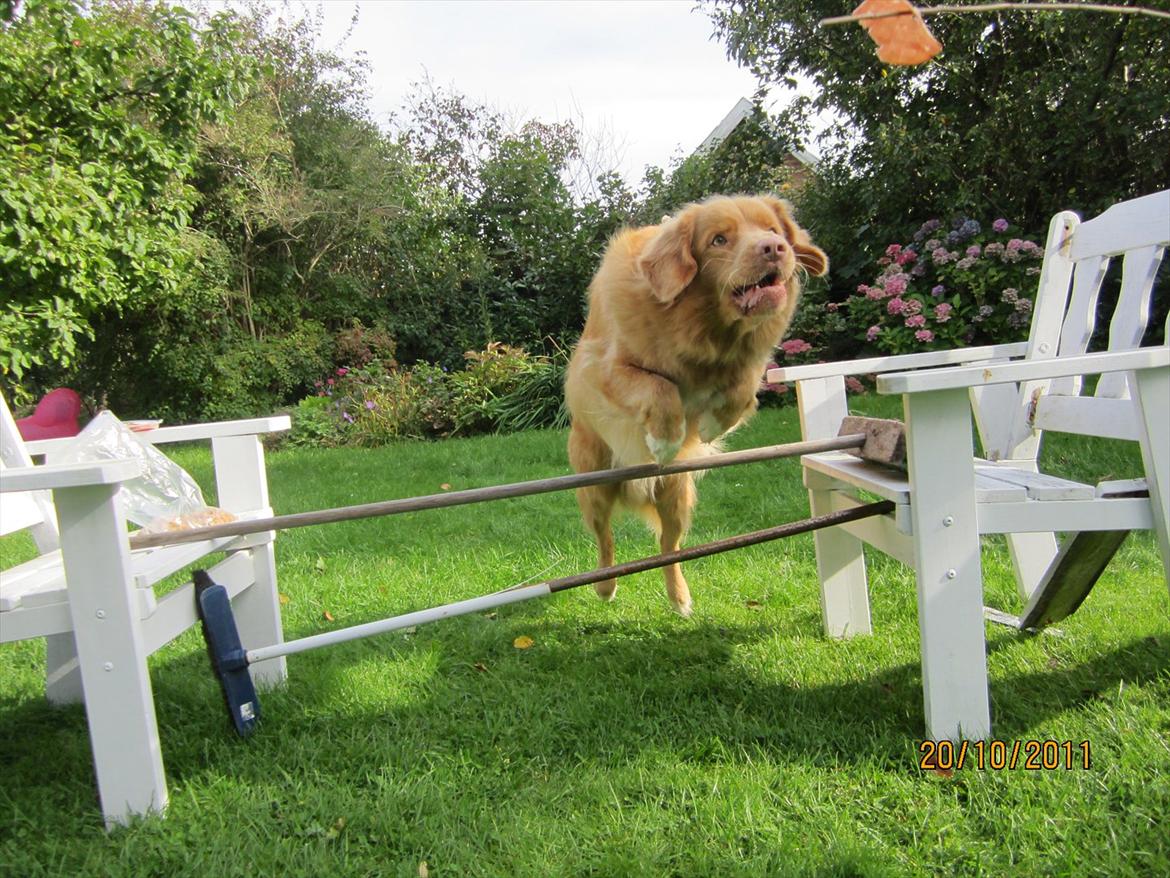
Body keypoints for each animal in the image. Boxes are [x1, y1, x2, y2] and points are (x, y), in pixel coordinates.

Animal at [563, 195, 823, 613]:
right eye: (718, 239)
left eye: (772, 230)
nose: (774, 249)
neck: (704, 330)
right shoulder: (598, 371)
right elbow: (659, 386)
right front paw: (666, 441)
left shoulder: (748, 362)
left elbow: (745, 385)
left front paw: (714, 423)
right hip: (595, 485)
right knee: (605, 539)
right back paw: (605, 587)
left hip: (677, 496)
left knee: (669, 546)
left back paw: (680, 597)